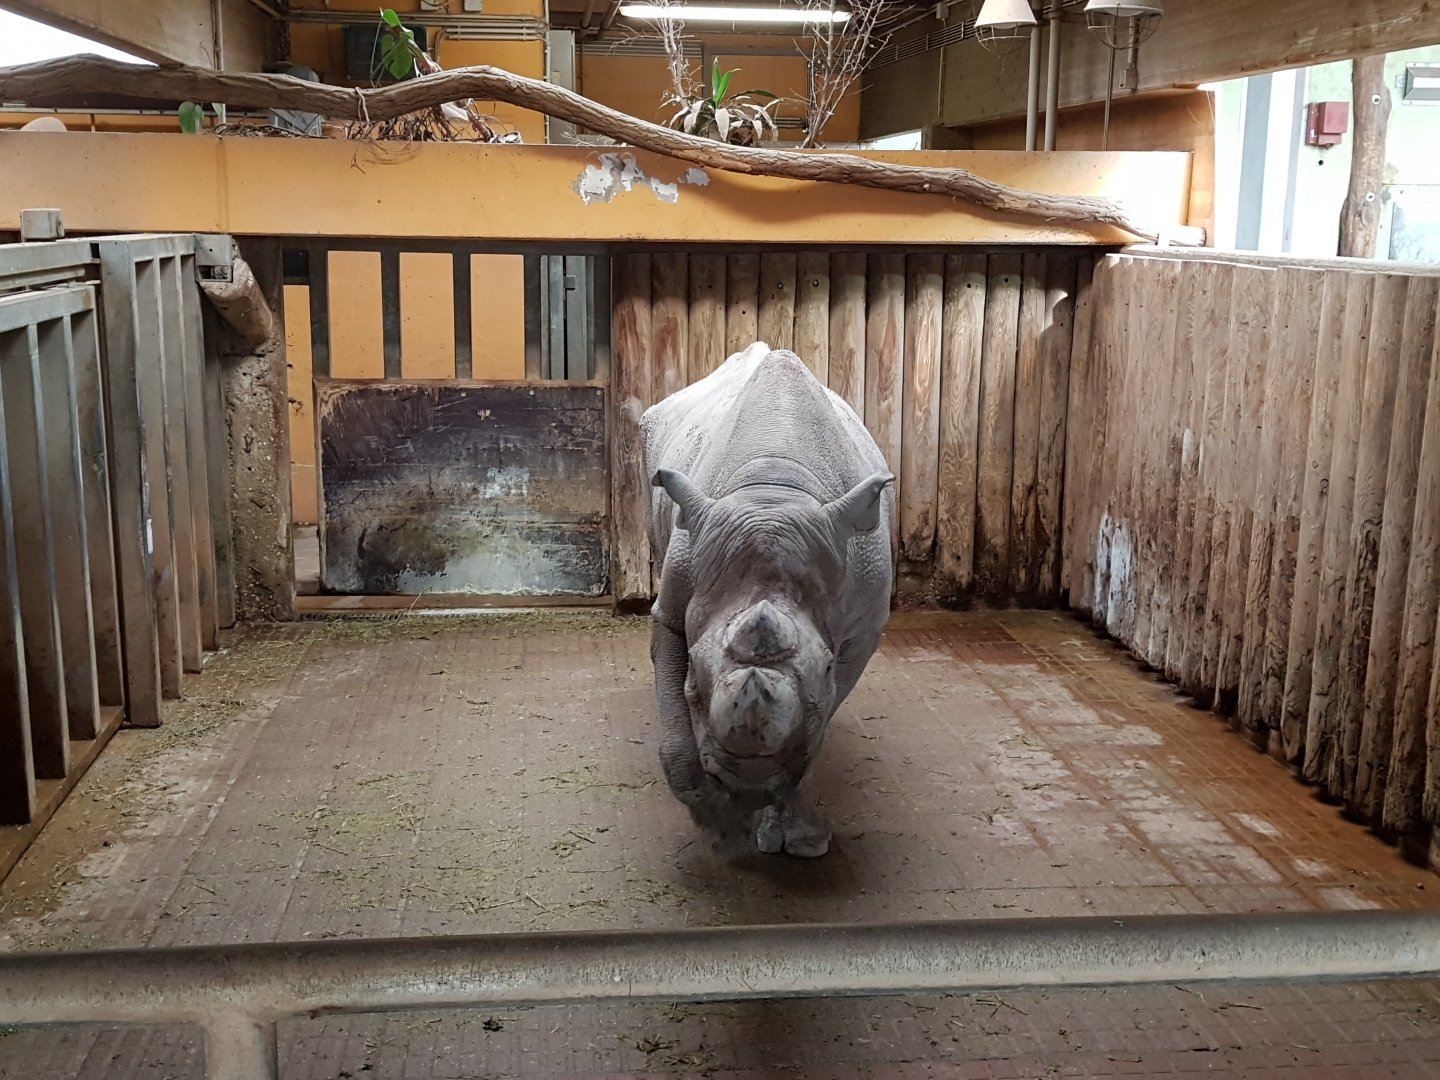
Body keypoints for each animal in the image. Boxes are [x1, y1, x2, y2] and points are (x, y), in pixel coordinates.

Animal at [641, 342, 894, 857]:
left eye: (827, 669)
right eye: (693, 674)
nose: (749, 785)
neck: (772, 494)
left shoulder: (863, 629)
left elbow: (818, 723)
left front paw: (797, 840)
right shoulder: (673, 606)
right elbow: (675, 726)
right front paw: (718, 828)